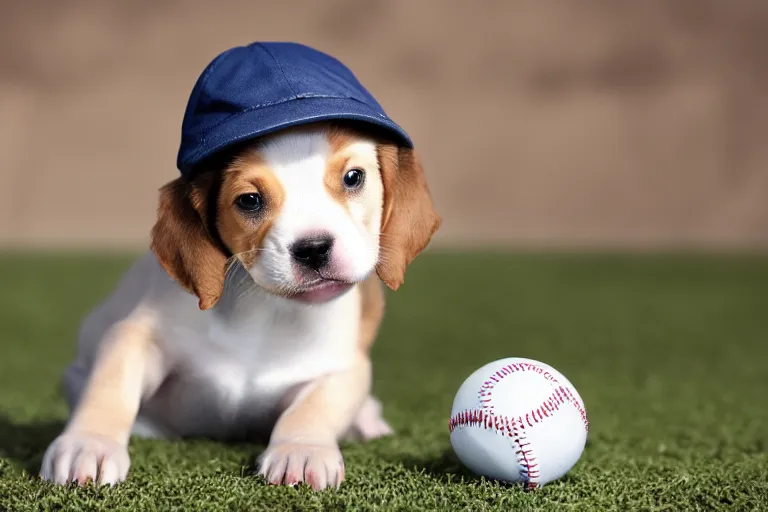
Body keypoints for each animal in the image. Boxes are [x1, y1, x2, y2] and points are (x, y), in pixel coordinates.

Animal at [39, 122, 440, 490]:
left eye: (353, 178)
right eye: (249, 200)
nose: (313, 248)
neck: (265, 310)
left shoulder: (344, 367)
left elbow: (314, 407)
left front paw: (301, 449)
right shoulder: (138, 336)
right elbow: (112, 384)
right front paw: (88, 443)